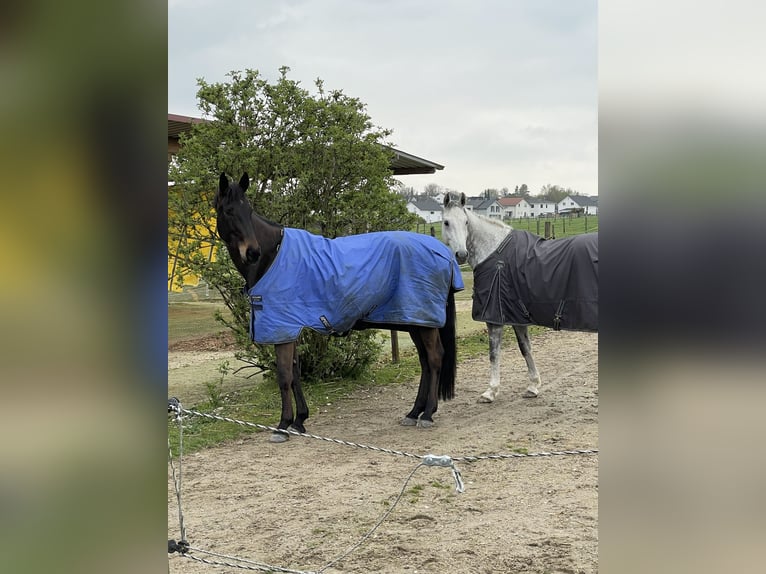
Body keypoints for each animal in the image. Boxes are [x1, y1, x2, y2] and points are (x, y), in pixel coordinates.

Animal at [214, 173, 464, 442]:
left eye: (249, 210)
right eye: (228, 211)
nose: (252, 252)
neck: (274, 256)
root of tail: (445, 253)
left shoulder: (282, 329)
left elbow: (284, 375)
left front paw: (283, 425)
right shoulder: (290, 328)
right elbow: (295, 373)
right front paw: (299, 420)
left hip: (424, 322)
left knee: (435, 358)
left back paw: (427, 414)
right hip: (416, 321)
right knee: (425, 361)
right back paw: (414, 412)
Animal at [441, 193, 598, 403]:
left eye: (466, 222)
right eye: (447, 222)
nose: (461, 254)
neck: (493, 251)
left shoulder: (495, 318)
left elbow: (494, 353)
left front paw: (490, 391)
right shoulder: (517, 316)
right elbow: (525, 348)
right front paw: (533, 386)